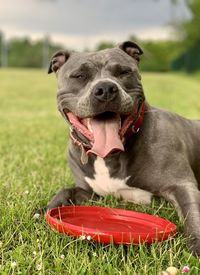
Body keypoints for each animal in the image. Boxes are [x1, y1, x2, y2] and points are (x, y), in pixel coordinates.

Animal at [47, 41, 200, 256]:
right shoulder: (91, 192)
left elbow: (192, 212)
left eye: (124, 72)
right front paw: (44, 209)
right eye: (79, 76)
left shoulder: (182, 185)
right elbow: (66, 191)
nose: (105, 88)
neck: (108, 156)